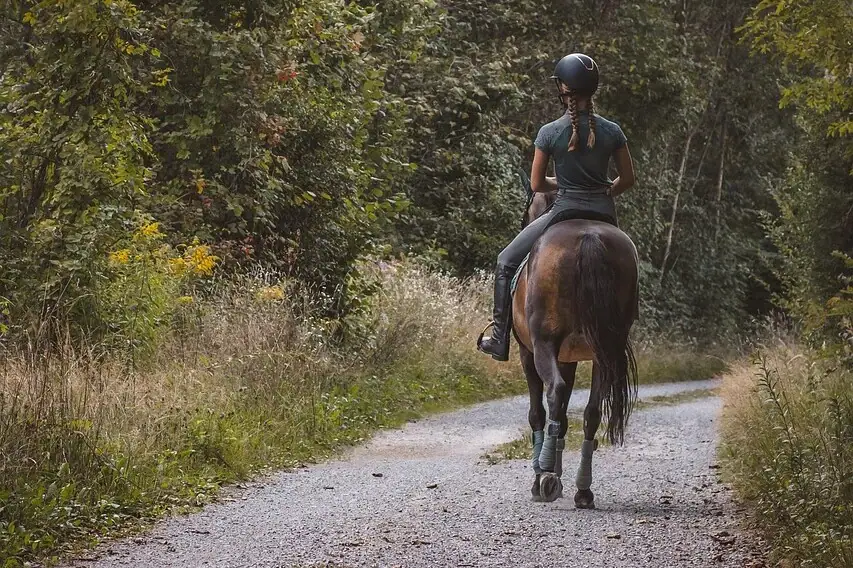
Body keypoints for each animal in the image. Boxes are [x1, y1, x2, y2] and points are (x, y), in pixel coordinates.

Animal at [511, 183, 639, 508]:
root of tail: (589, 237)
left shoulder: (528, 352)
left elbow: (538, 412)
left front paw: (543, 476)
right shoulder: (568, 358)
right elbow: (565, 416)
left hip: (542, 345)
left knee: (554, 393)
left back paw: (544, 476)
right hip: (605, 351)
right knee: (592, 412)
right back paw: (583, 489)